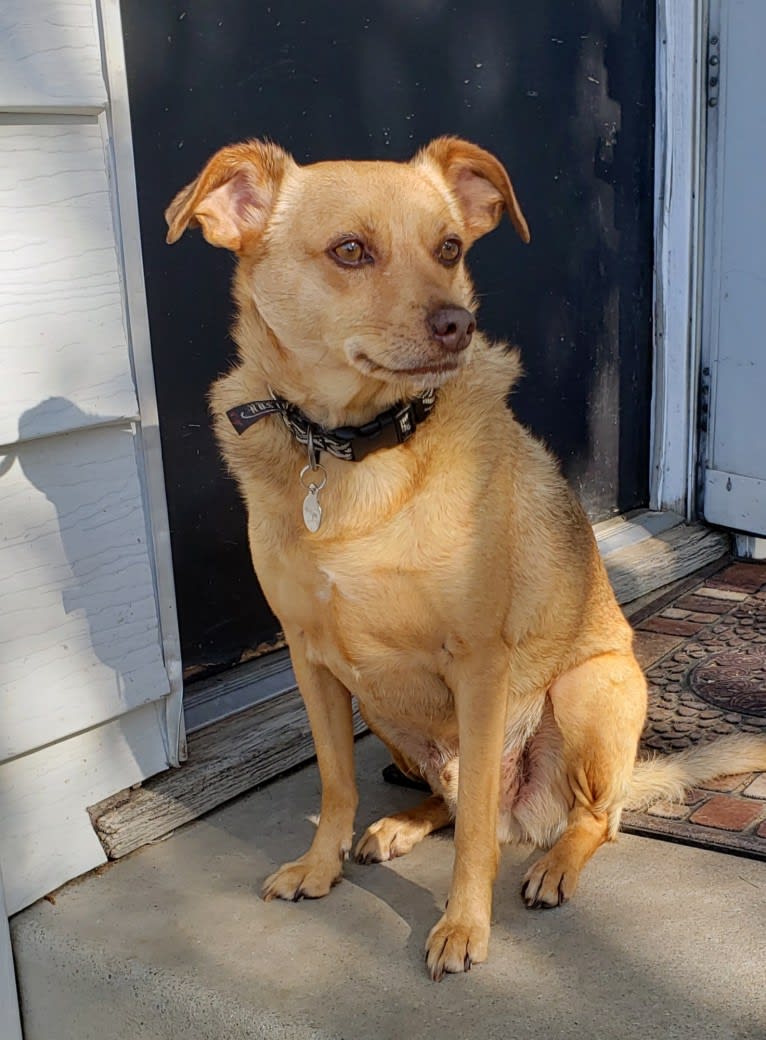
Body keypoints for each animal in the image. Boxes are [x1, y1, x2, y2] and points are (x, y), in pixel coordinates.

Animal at [167, 140, 764, 981]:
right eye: (350, 251)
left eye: (449, 248)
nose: (459, 323)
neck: (353, 454)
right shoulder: (309, 660)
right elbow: (336, 782)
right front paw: (321, 867)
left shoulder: (479, 663)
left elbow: (477, 831)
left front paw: (462, 924)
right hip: (382, 713)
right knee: (450, 801)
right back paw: (399, 826)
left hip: (590, 690)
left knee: (588, 818)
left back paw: (553, 865)